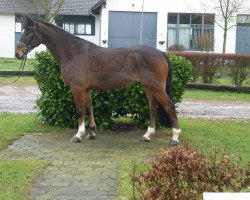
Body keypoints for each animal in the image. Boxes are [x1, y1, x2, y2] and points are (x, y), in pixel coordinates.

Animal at [15, 16, 182, 145]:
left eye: (28, 33)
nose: (17, 53)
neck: (73, 52)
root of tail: (161, 53)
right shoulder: (86, 89)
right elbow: (89, 108)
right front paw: (91, 133)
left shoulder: (77, 88)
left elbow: (80, 110)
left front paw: (78, 135)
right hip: (149, 87)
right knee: (153, 109)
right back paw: (147, 136)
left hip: (157, 88)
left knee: (170, 107)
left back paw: (174, 138)